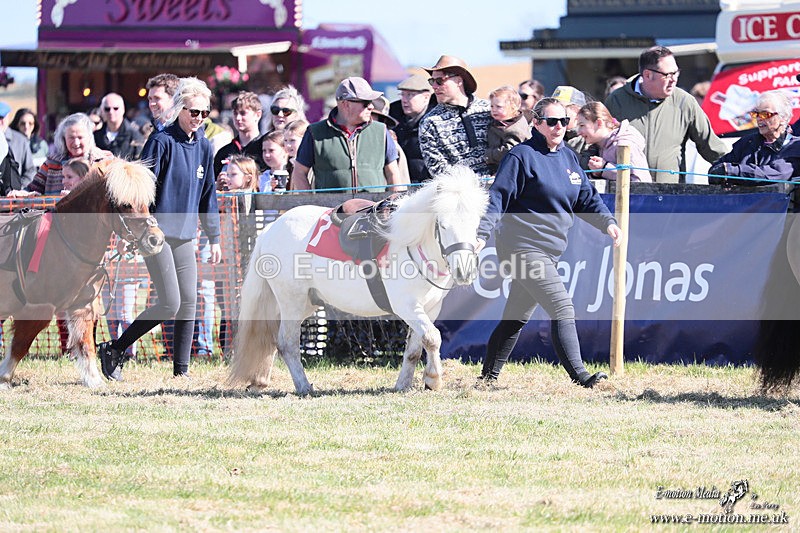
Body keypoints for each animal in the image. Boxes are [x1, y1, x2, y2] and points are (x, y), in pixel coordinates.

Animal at [0, 158, 165, 389]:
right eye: (125, 204)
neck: (64, 243)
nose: (155, 240)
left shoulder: (82, 307)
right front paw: (4, 378)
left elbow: (86, 345)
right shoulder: (38, 308)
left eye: (146, 203)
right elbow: (20, 345)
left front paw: (95, 381)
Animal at [230, 166, 489, 395]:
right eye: (443, 225)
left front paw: (404, 385)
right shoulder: (406, 306)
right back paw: (303, 386)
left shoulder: (430, 308)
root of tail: (269, 231)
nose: (464, 271)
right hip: (291, 302)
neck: (411, 243)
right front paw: (434, 379)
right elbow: (433, 337)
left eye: (475, 223)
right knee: (287, 344)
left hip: (305, 303)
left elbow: (415, 349)